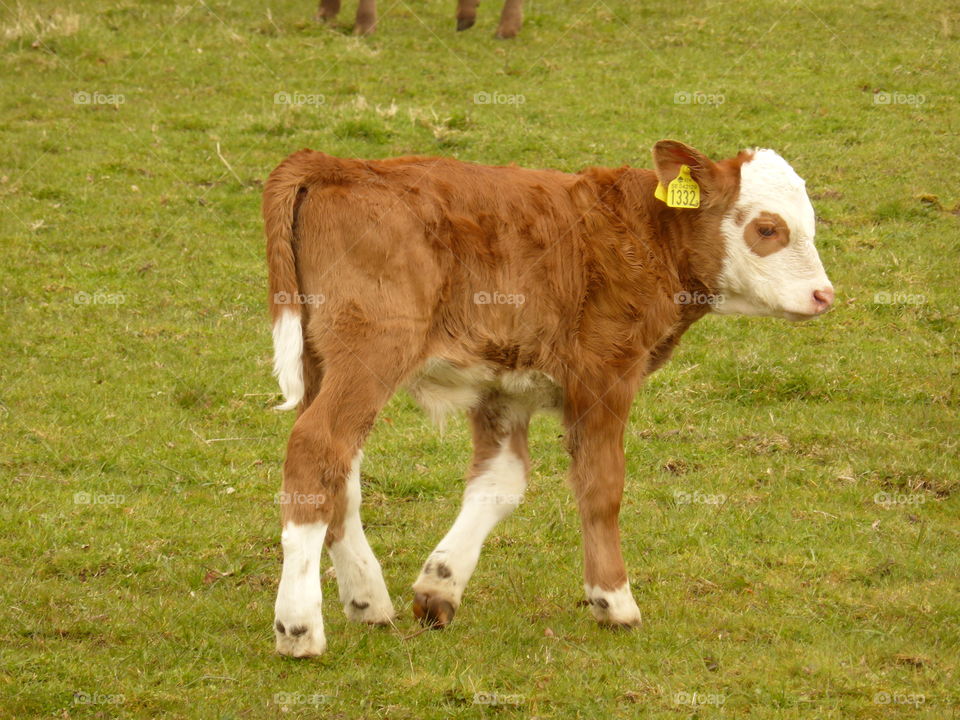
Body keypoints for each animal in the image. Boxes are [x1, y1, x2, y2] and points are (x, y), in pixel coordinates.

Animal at [263, 140, 834, 656]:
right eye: (767, 229)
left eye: (808, 224)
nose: (823, 295)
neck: (645, 233)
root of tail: (336, 163)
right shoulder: (606, 374)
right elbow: (602, 486)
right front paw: (613, 600)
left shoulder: (505, 386)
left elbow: (500, 483)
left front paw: (440, 585)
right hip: (373, 351)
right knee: (318, 447)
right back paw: (299, 627)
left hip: (324, 362)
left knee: (341, 473)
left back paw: (366, 599)